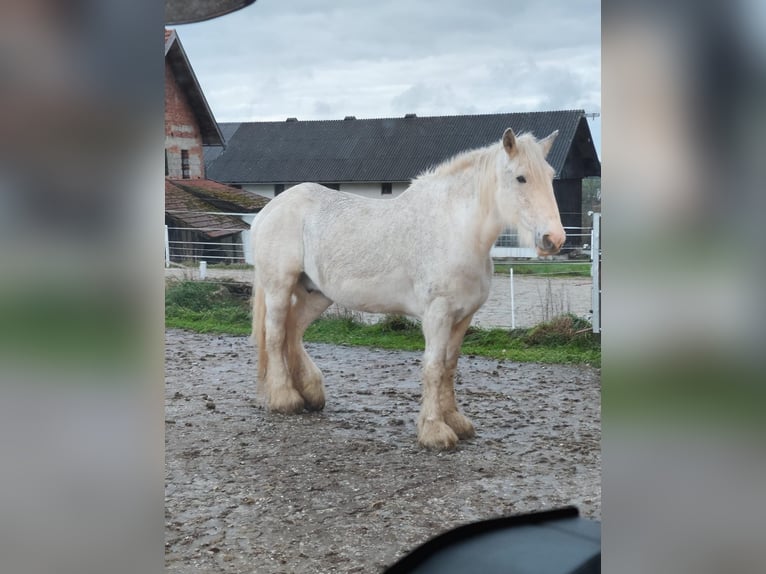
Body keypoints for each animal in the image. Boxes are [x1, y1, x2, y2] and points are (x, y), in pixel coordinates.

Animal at [251, 128, 565, 449]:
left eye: (550, 176)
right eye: (521, 178)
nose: (554, 239)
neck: (455, 230)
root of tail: (270, 209)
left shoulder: (463, 316)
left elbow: (450, 366)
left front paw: (455, 421)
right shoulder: (437, 314)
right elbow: (434, 367)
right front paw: (434, 430)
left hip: (317, 294)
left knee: (293, 330)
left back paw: (310, 393)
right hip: (279, 287)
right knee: (275, 334)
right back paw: (285, 398)